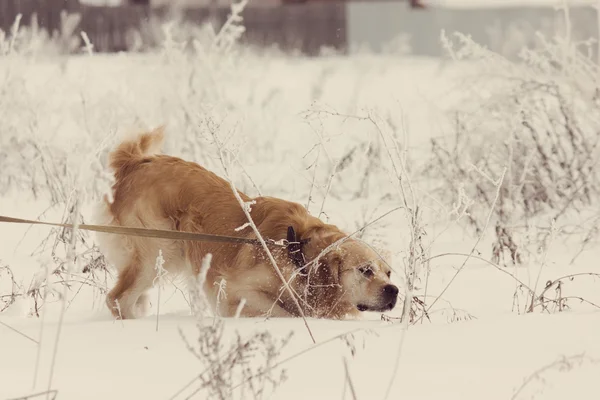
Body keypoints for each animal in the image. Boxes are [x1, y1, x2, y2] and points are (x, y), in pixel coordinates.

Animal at [94, 126, 398, 320]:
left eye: (389, 273)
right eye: (365, 270)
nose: (393, 290)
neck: (298, 252)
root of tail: (136, 162)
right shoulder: (234, 289)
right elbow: (280, 311)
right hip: (158, 253)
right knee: (117, 299)